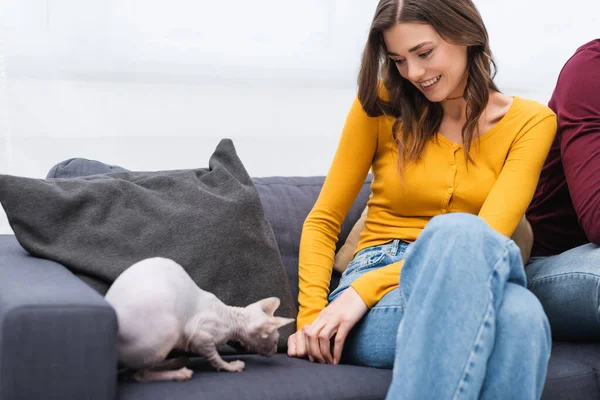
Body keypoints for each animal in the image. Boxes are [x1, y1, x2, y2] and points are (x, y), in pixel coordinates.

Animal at [106, 258, 298, 382]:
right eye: (275, 342)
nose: (275, 351)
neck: (230, 317)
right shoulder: (200, 334)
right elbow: (213, 355)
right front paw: (230, 366)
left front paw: (240, 345)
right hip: (169, 330)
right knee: (138, 375)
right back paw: (179, 372)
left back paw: (177, 361)